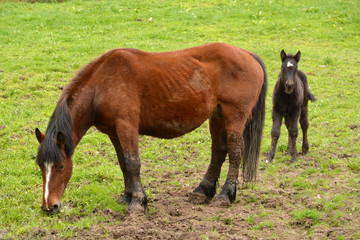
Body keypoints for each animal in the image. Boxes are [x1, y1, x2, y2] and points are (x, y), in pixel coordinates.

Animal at [34, 43, 268, 214]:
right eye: (40, 167)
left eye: (60, 166)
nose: (49, 207)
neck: (101, 84)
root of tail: (247, 54)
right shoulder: (113, 132)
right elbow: (123, 164)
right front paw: (127, 196)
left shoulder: (126, 126)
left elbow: (133, 162)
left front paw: (138, 202)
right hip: (217, 116)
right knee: (218, 151)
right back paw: (202, 191)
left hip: (234, 117)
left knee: (235, 152)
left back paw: (225, 195)